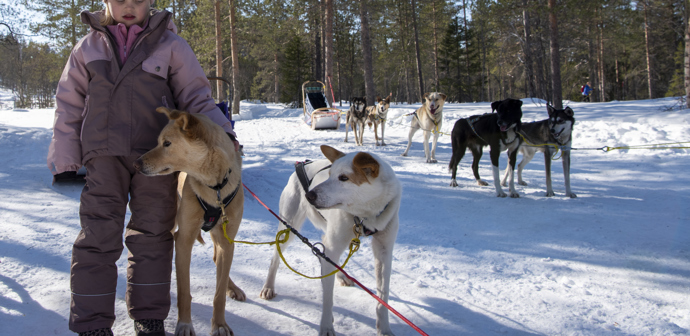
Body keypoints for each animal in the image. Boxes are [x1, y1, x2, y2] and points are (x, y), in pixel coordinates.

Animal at [133, 107, 243, 336]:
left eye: (167, 143)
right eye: (159, 141)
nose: (136, 163)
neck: (215, 188)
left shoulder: (227, 241)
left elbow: (219, 293)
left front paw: (219, 324)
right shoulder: (183, 239)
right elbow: (184, 290)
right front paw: (184, 324)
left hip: (222, 239)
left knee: (218, 261)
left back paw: (233, 287)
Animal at [256, 144, 398, 336]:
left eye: (344, 178)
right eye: (330, 174)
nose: (309, 195)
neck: (365, 217)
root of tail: (302, 164)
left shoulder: (383, 251)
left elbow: (383, 296)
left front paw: (384, 329)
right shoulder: (333, 245)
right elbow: (328, 298)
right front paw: (326, 326)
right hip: (289, 228)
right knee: (275, 259)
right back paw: (268, 287)